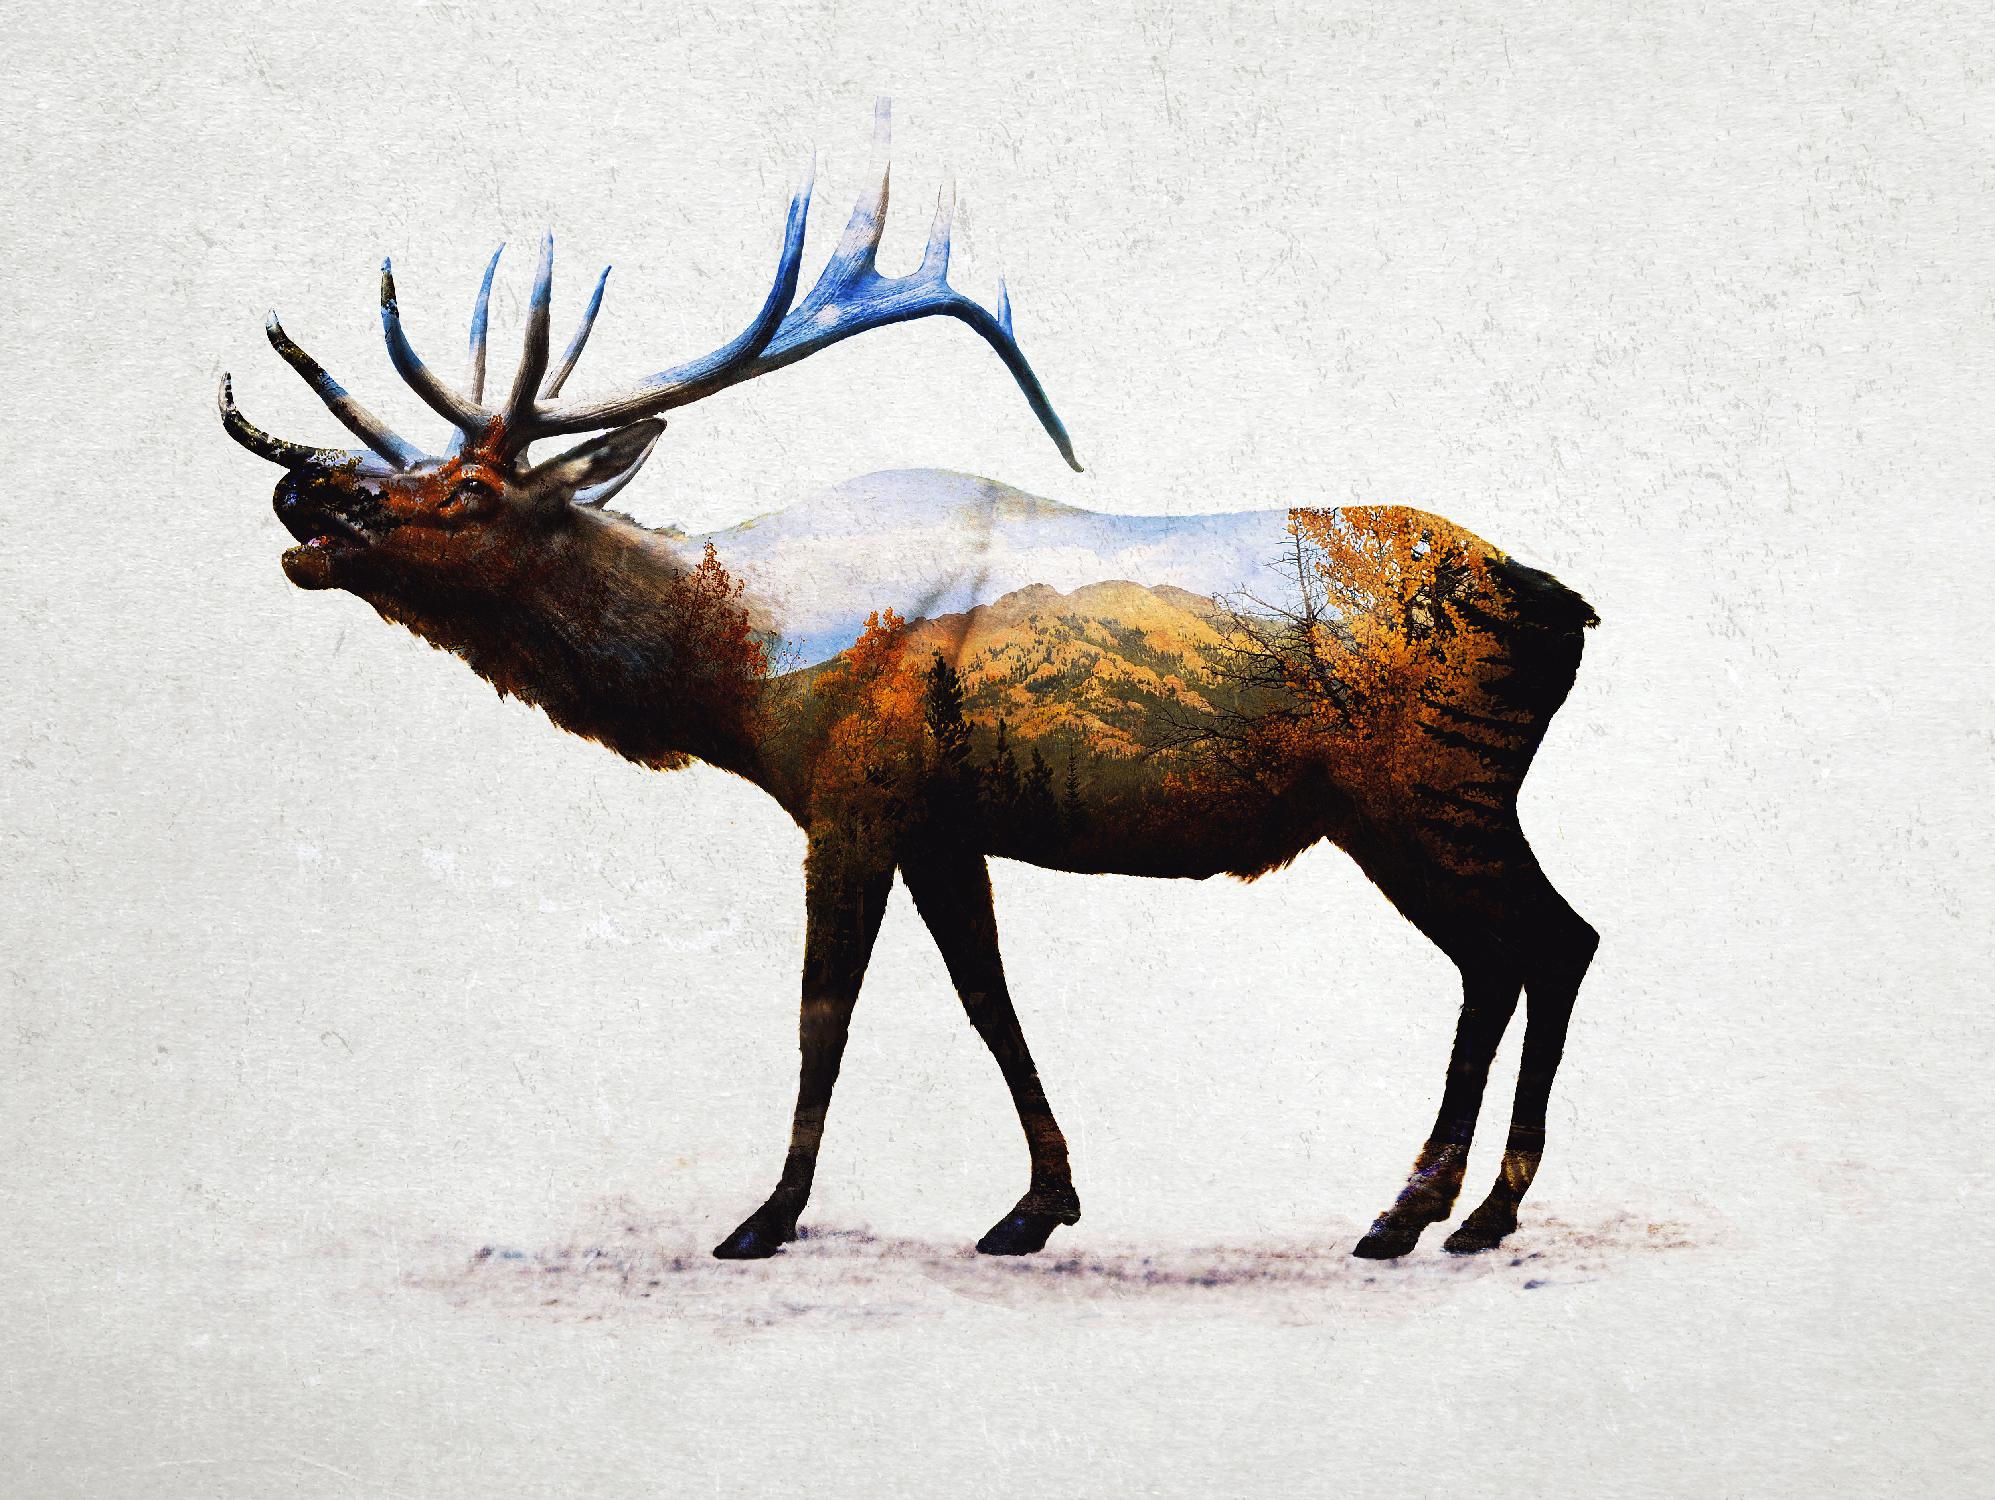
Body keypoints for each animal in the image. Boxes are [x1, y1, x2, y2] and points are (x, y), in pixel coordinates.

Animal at [220, 104, 1599, 1265]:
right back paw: (1456, 1211)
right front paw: (1039, 1205)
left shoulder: (854, 795)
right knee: (1528, 949)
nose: (305, 489)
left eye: (464, 489)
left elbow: (822, 1010)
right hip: (1432, 803)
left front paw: (766, 1216)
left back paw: (1438, 1211)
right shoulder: (944, 823)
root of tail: (1564, 607)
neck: (737, 666)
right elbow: (989, 1000)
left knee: (1540, 942)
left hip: (1424, 789)